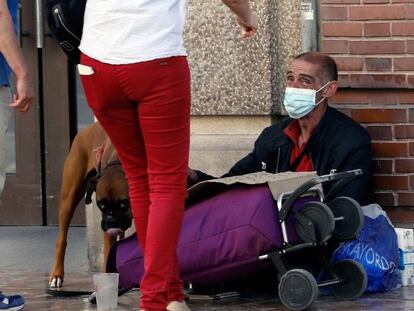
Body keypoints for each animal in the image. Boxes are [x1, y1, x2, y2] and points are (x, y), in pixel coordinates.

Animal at [49, 123, 132, 288]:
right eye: (101, 204)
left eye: (123, 203)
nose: (110, 222)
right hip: (69, 197)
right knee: (61, 239)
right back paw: (56, 275)